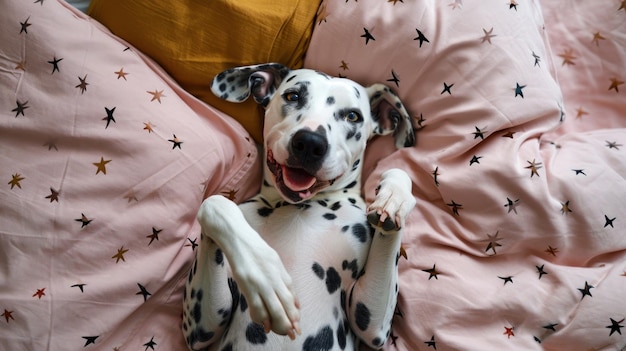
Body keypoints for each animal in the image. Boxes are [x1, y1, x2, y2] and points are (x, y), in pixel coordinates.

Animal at [180, 64, 414, 351]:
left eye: (352, 116)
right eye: (293, 96)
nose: (311, 143)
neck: (297, 206)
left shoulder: (371, 323)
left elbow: (398, 171)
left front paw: (394, 200)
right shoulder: (199, 327)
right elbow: (215, 204)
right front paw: (265, 277)